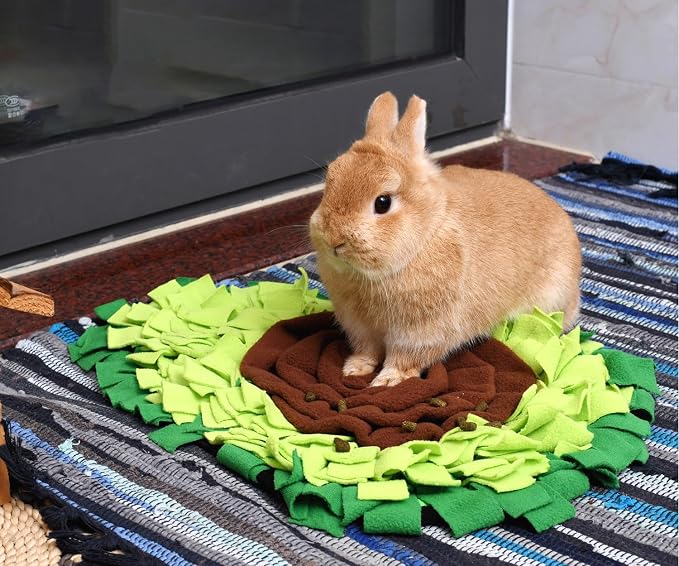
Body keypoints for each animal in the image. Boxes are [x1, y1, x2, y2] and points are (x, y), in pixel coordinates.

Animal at [309, 92, 582, 387]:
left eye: (382, 203)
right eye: (329, 183)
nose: (334, 241)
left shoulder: (421, 331)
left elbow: (404, 358)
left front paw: (388, 381)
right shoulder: (360, 326)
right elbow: (367, 350)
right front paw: (354, 369)